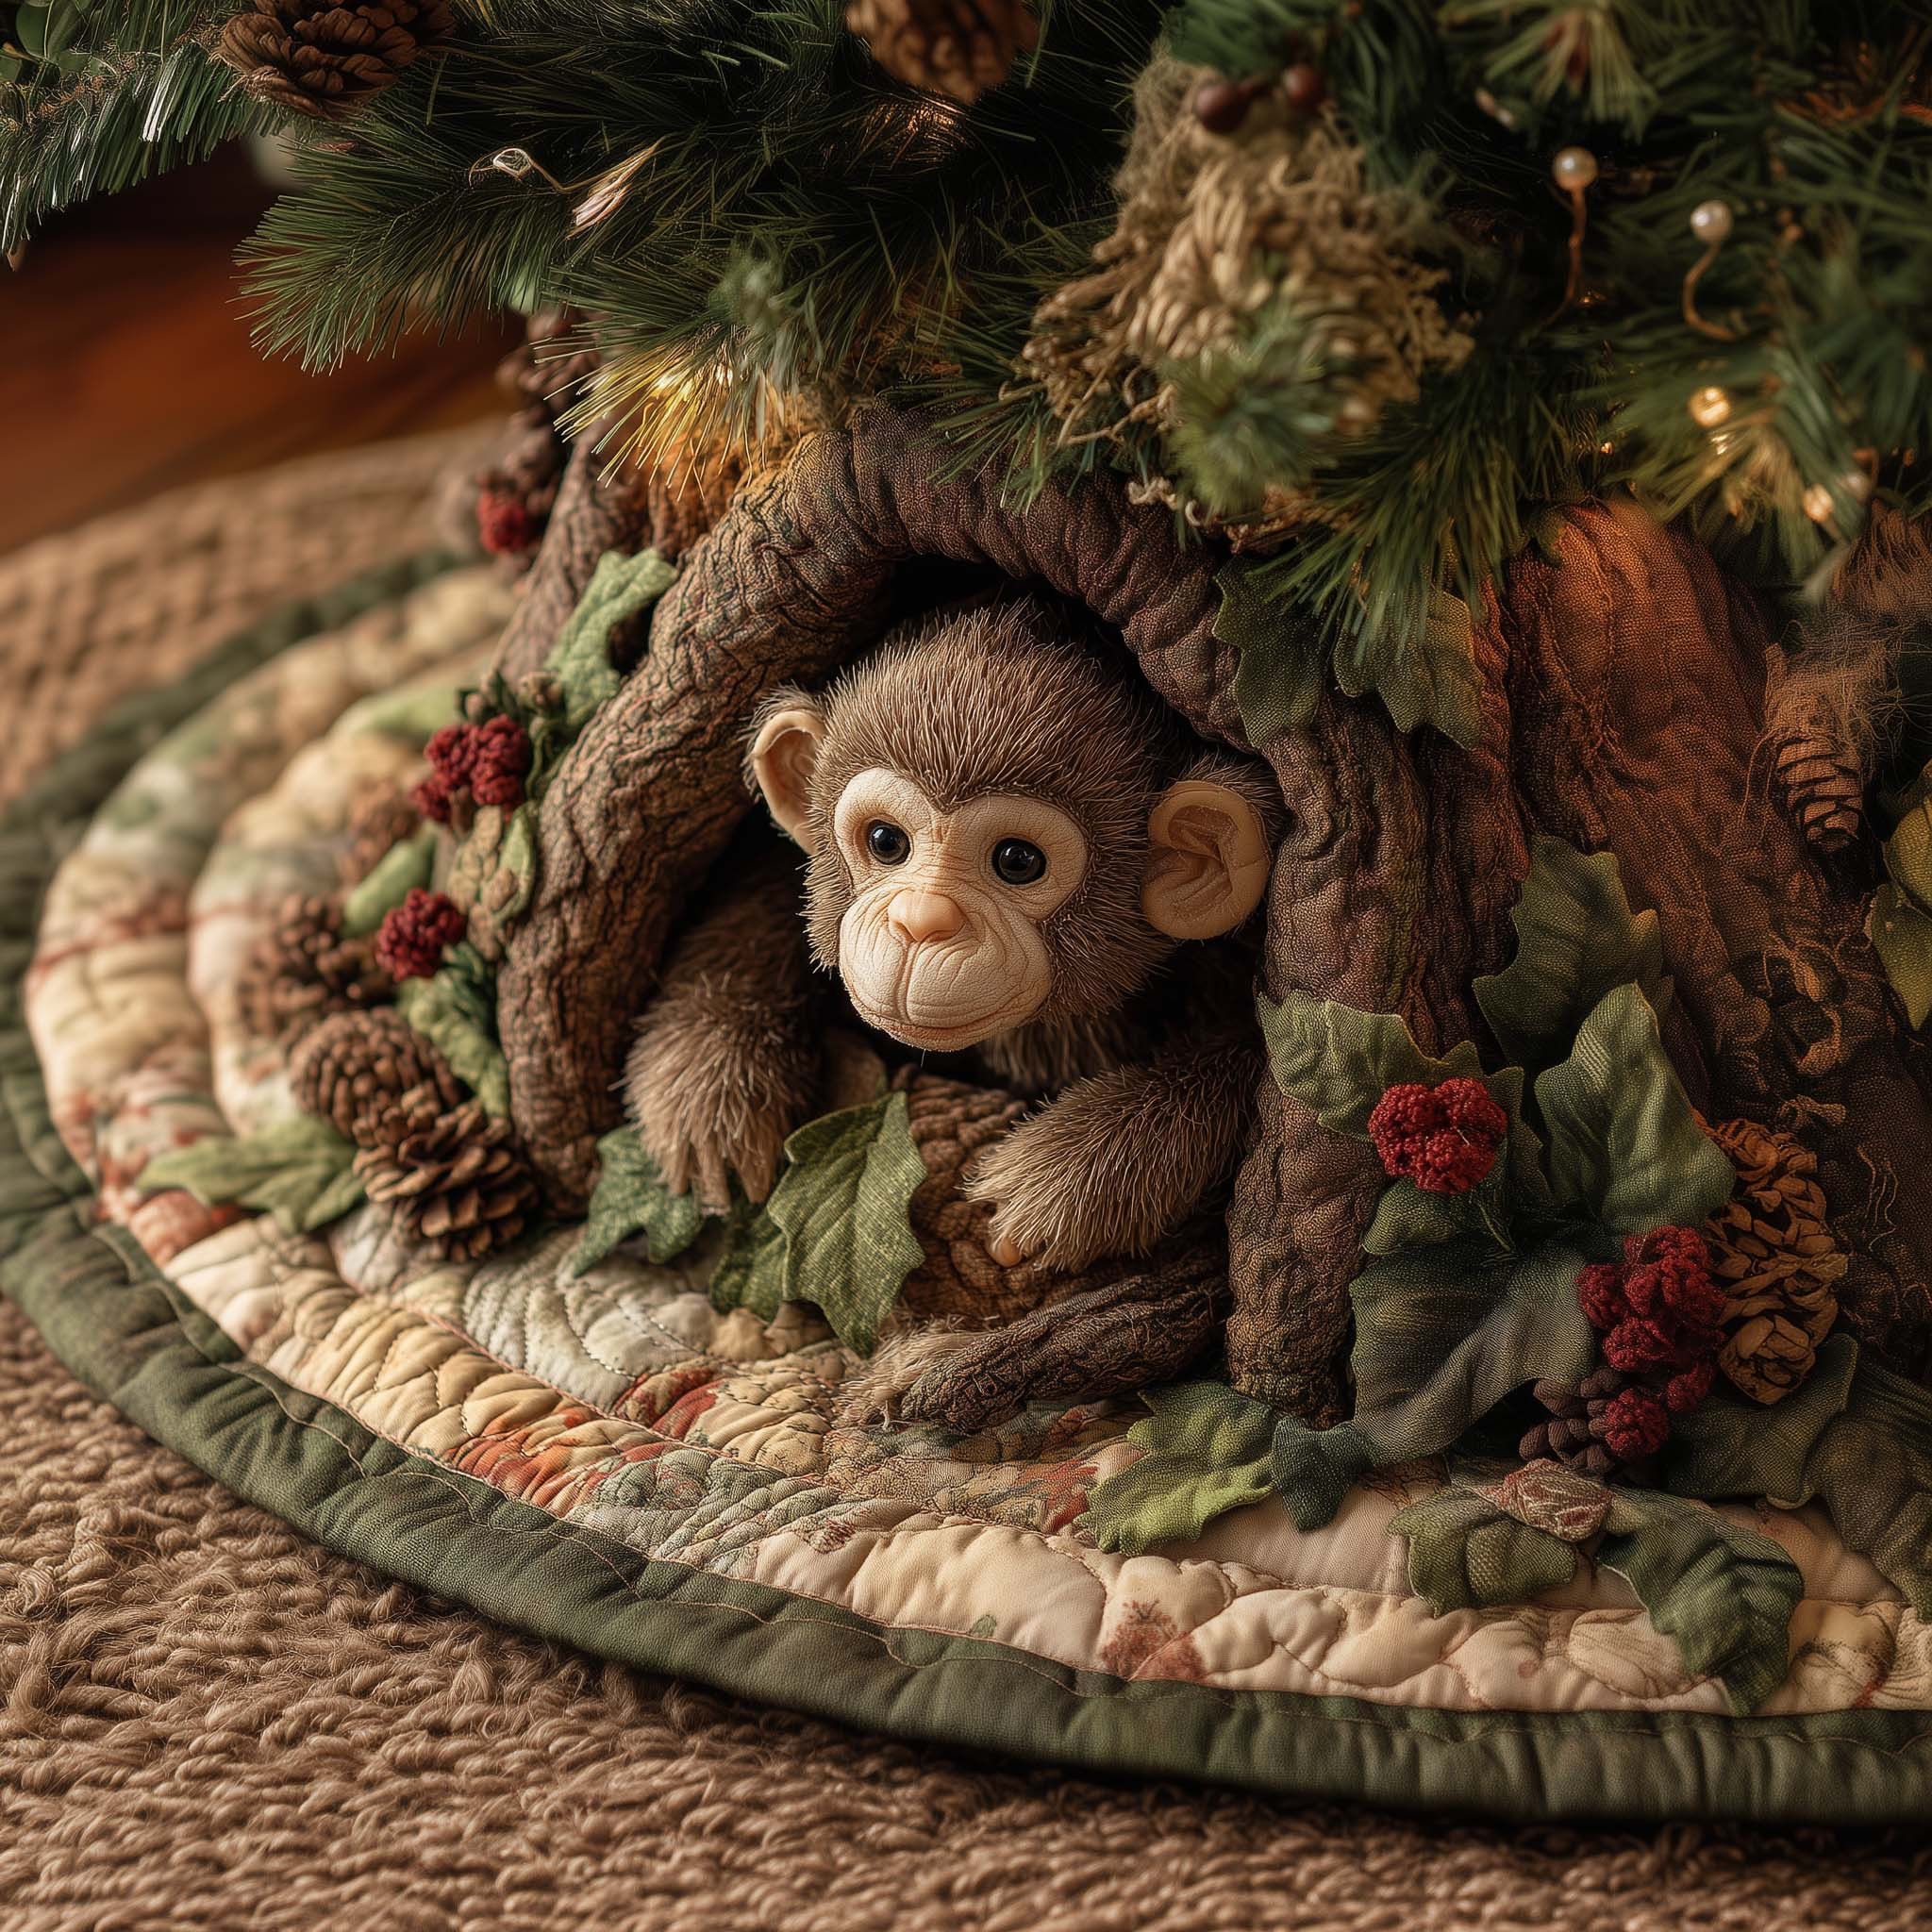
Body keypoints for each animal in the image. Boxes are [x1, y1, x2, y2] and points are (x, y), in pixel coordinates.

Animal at [623, 596, 1282, 1290]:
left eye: (1017, 861)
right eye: (886, 841)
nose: (921, 921)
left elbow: (1253, 1054)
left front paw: (1076, 1169)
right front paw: (708, 1075)